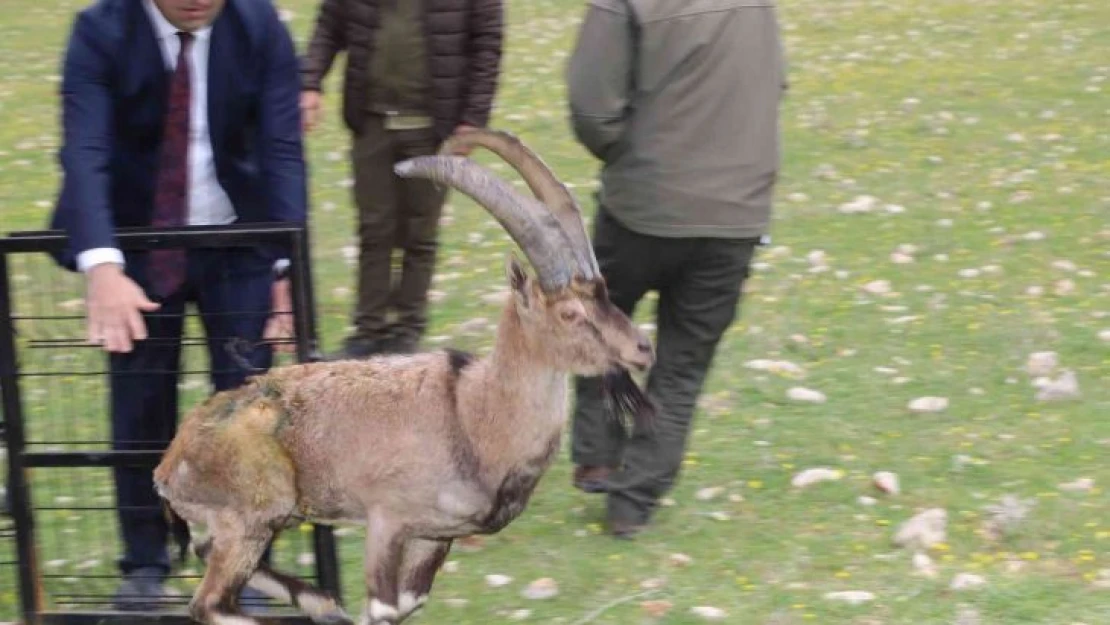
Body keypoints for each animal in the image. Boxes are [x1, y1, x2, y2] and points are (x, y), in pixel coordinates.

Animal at [156, 129, 657, 625]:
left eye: (605, 296)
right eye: (570, 313)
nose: (642, 348)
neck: (475, 414)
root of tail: (169, 464)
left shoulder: (434, 535)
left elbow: (407, 603)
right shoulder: (387, 517)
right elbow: (382, 607)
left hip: (247, 522)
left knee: (205, 550)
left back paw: (321, 602)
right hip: (257, 508)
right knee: (209, 603)